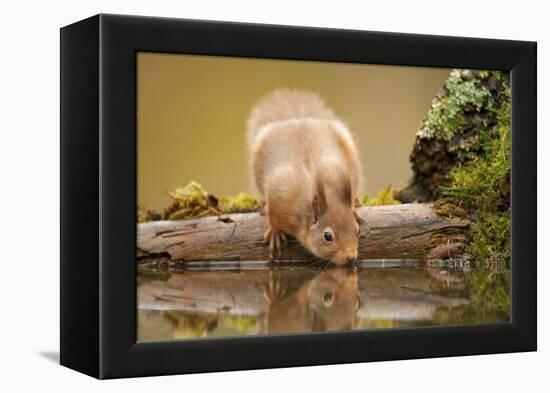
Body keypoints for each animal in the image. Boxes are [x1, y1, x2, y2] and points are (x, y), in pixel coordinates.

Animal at [248, 89, 364, 264]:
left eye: (357, 230)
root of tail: (298, 119)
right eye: (327, 236)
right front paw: (275, 233)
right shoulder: (280, 196)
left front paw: (354, 208)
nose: (351, 257)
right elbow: (272, 215)